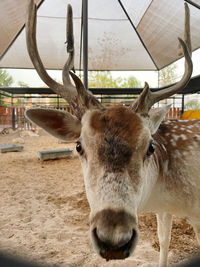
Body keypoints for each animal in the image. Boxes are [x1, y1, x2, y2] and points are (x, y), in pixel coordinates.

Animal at [25, 1, 200, 266]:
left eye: (150, 146)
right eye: (78, 146)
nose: (115, 240)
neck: (168, 194)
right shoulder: (164, 209)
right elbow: (164, 240)